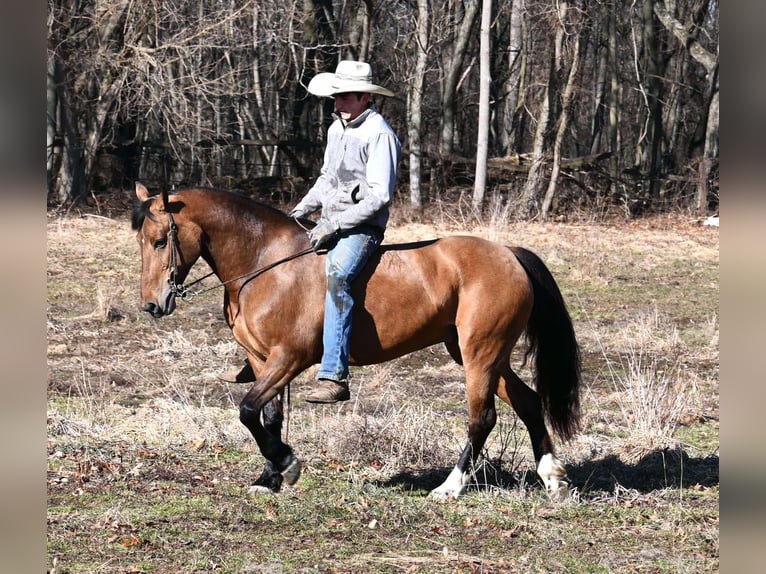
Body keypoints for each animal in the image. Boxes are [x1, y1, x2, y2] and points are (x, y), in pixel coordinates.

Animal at [131, 182, 581, 500]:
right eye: (140, 242)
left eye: (160, 241)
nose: (152, 304)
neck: (264, 264)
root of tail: (509, 253)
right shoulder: (261, 360)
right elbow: (267, 417)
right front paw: (269, 477)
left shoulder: (288, 358)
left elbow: (246, 411)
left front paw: (287, 464)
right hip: (484, 355)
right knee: (527, 402)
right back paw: (552, 479)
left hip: (479, 354)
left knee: (482, 418)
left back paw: (449, 487)